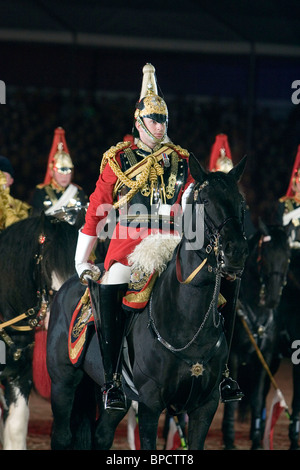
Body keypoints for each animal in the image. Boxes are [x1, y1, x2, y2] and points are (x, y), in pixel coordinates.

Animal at [47, 152, 248, 450]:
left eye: (241, 202)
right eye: (204, 201)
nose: (236, 252)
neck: (188, 322)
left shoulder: (206, 406)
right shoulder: (151, 404)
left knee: (102, 435)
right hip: (63, 384)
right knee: (61, 436)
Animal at [221, 222, 290, 450]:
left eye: (287, 257)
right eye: (265, 255)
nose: (272, 298)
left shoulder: (264, 359)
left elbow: (258, 399)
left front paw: (257, 441)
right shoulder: (233, 357)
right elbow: (231, 403)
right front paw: (229, 439)